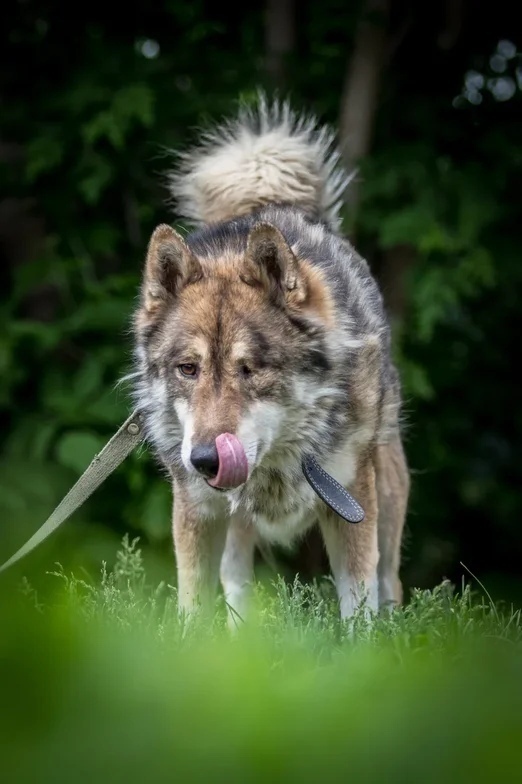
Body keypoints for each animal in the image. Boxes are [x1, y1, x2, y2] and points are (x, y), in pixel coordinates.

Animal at [130, 96, 406, 624]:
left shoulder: (350, 503)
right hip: (234, 526)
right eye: (188, 369)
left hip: (386, 492)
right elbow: (192, 608)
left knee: (390, 582)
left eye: (251, 370)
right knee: (235, 581)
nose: (204, 459)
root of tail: (268, 205)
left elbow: (358, 608)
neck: (278, 463)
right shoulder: (196, 508)